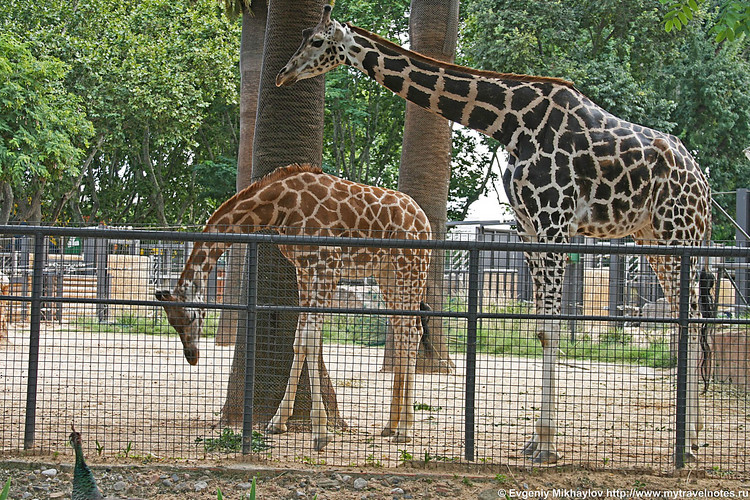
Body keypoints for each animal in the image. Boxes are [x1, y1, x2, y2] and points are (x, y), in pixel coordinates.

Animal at [156, 164, 432, 450]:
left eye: (190, 317)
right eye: (172, 323)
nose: (192, 357)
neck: (280, 207)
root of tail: (424, 219)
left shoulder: (326, 265)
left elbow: (310, 340)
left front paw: (320, 432)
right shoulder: (305, 270)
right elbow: (300, 340)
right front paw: (278, 422)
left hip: (410, 265)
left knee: (411, 331)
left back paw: (405, 429)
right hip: (386, 272)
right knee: (403, 329)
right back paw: (391, 425)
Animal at [278, 5, 716, 462]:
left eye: (315, 41)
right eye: (303, 35)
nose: (283, 74)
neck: (511, 124)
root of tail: (704, 184)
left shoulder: (554, 220)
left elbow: (551, 327)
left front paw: (547, 443)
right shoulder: (528, 225)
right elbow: (540, 327)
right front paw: (535, 440)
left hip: (678, 231)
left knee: (693, 320)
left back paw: (688, 442)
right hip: (654, 239)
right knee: (690, 318)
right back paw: (693, 435)